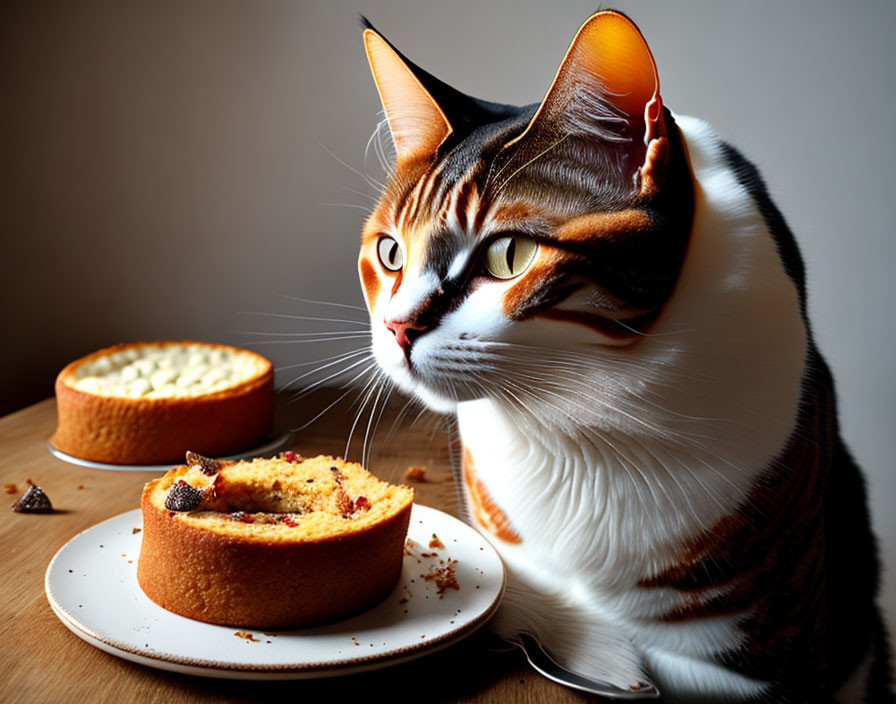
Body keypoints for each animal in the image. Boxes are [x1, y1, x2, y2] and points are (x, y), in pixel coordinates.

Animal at [356, 11, 888, 704]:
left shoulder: (779, 664)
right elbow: (514, 589)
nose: (397, 327)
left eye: (508, 256)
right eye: (391, 252)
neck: (576, 419)